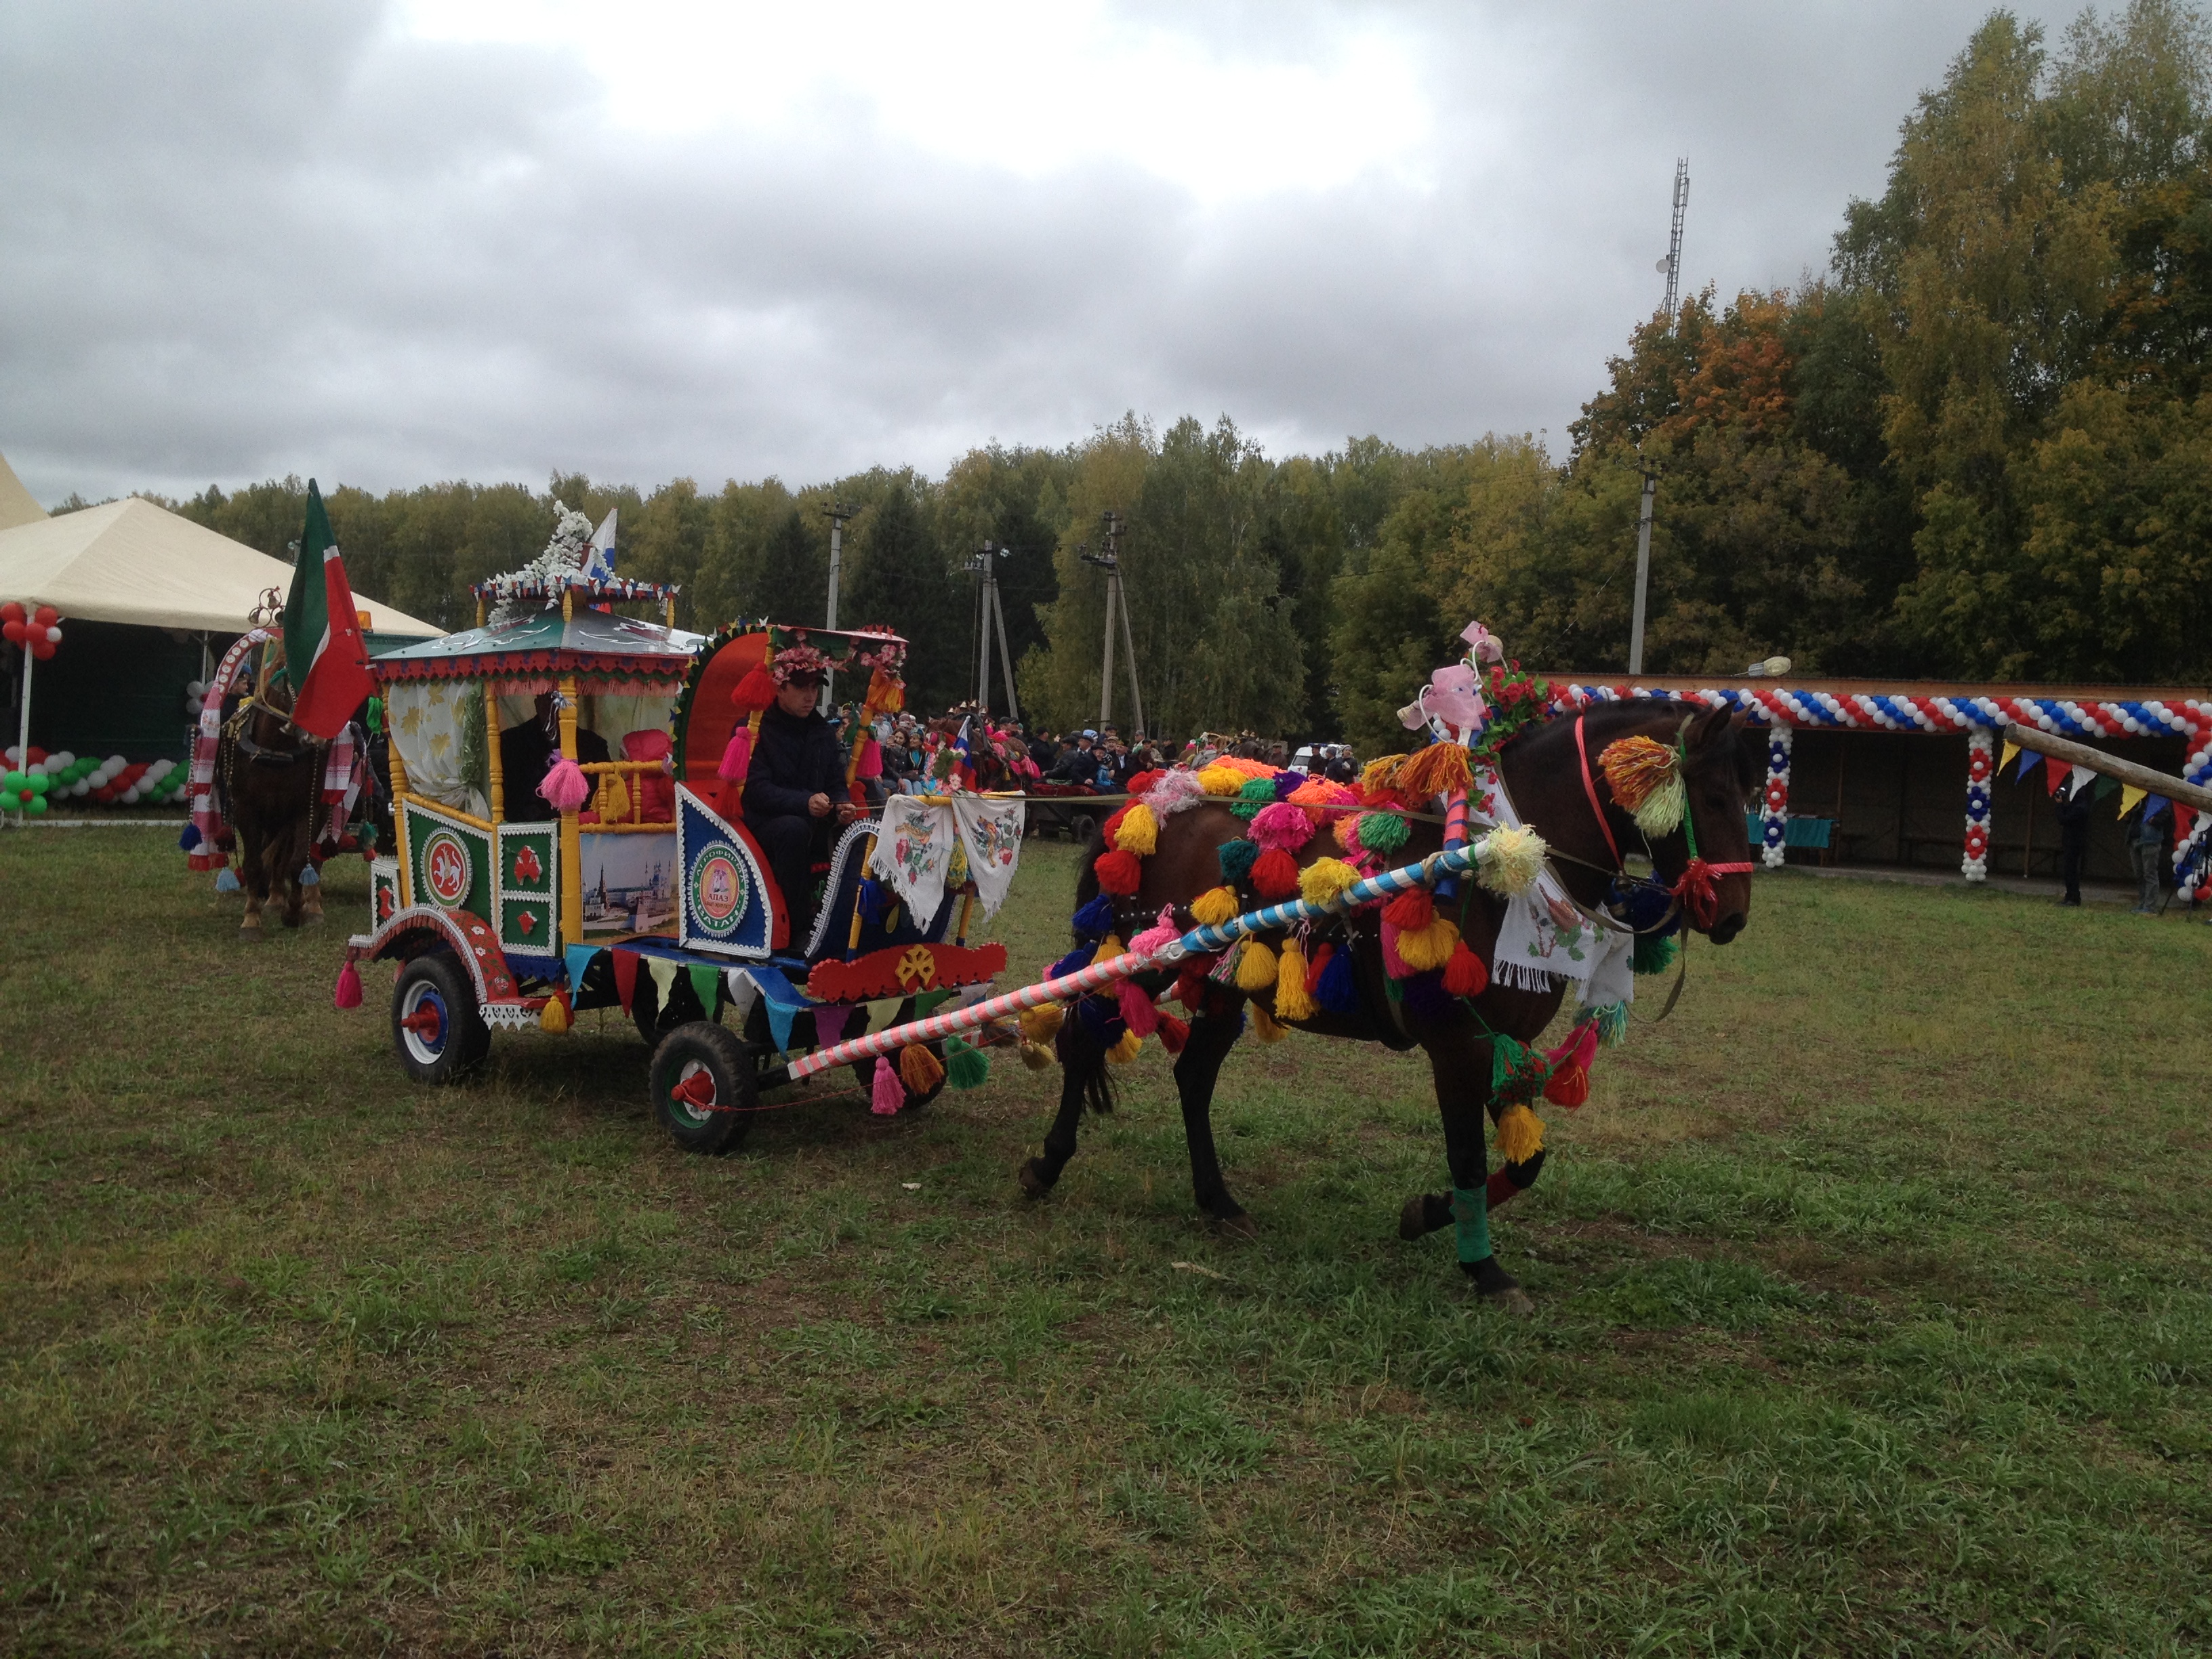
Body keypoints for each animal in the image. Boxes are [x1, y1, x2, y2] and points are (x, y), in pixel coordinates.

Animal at [1017, 703, 1761, 1309]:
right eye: (1714, 794)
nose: (1732, 916)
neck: (1501, 867)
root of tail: (1147, 805)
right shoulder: (1457, 1044)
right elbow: (1468, 1155)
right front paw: (1482, 1267)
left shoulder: (1506, 1041)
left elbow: (1525, 1161)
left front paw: (1428, 1214)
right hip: (1141, 966)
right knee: (1083, 1044)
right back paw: (1047, 1165)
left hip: (1223, 984)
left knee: (1192, 1079)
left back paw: (1219, 1203)